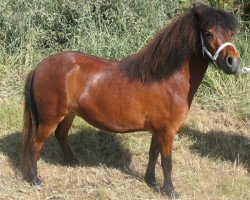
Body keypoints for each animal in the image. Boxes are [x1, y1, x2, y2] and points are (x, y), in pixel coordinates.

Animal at [21, 3, 240, 198]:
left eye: (230, 34)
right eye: (209, 33)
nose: (233, 63)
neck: (167, 79)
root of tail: (39, 68)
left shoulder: (158, 130)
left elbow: (153, 154)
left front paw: (151, 181)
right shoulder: (168, 131)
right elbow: (167, 162)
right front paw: (170, 191)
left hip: (69, 114)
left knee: (61, 135)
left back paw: (72, 161)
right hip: (50, 118)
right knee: (34, 145)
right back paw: (34, 179)